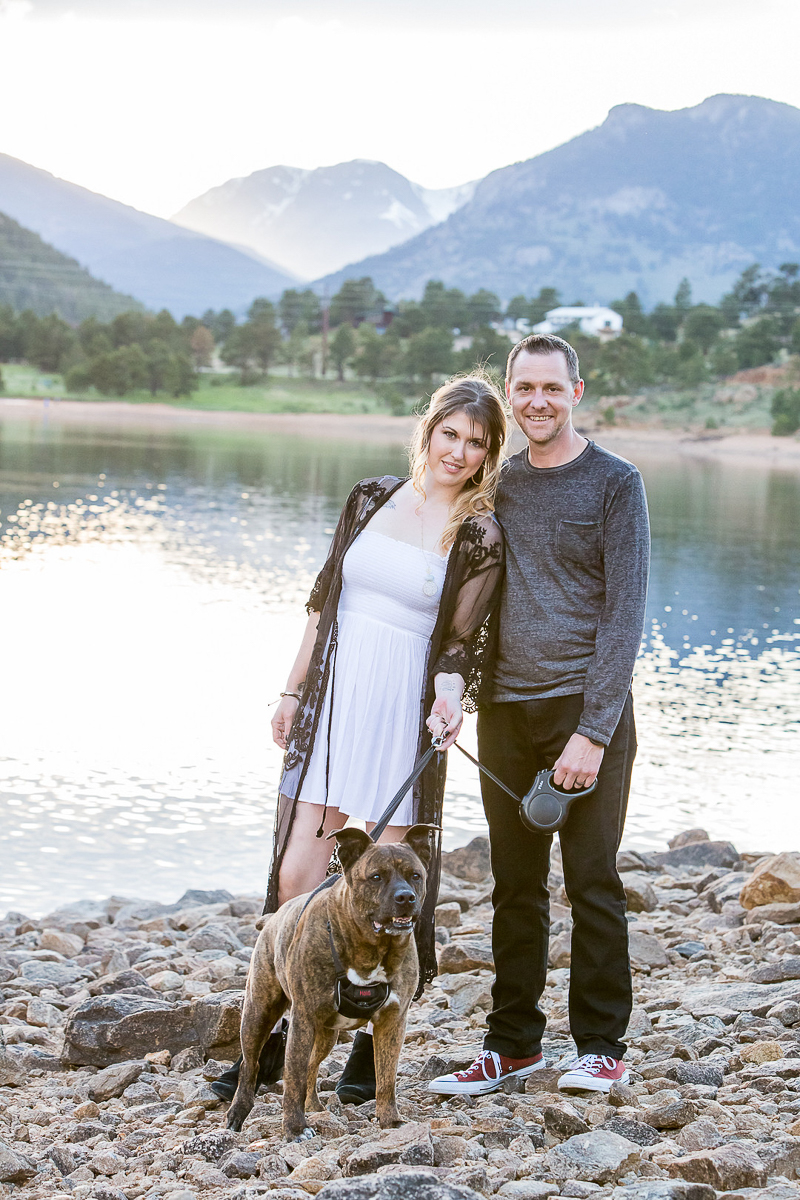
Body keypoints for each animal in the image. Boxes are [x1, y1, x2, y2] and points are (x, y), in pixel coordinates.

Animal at [226, 823, 436, 1141]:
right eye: (376, 877)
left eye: (415, 875)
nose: (405, 897)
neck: (372, 946)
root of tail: (272, 918)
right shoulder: (302, 1018)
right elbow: (293, 1076)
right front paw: (295, 1128)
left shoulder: (393, 1021)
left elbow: (386, 1077)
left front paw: (390, 1121)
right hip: (258, 1012)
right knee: (252, 1066)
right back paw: (238, 1112)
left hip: (326, 1033)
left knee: (313, 1065)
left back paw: (314, 1106)